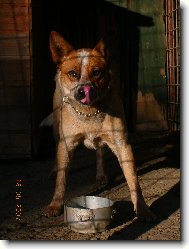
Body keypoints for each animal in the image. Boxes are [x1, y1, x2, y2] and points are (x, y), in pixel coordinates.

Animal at [43, 30, 156, 221]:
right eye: (72, 73)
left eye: (97, 72)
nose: (83, 91)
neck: (89, 112)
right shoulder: (66, 144)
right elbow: (61, 179)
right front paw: (55, 205)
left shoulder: (122, 144)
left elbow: (133, 180)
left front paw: (143, 209)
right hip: (56, 129)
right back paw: (54, 169)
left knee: (100, 151)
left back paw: (101, 174)